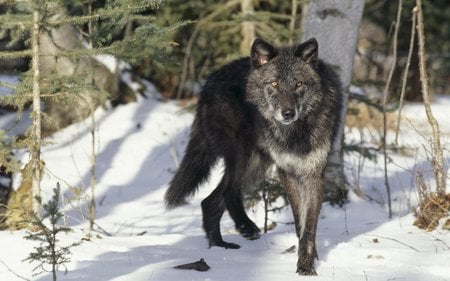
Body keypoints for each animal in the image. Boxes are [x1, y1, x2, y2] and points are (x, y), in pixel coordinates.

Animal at [164, 37, 342, 274]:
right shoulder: (286, 172)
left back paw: (219, 246)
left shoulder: (313, 174)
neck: (295, 133)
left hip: (257, 165)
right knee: (229, 191)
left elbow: (308, 227)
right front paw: (305, 264)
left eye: (298, 84)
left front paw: (308, 263)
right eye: (274, 83)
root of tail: (208, 83)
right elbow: (299, 223)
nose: (288, 113)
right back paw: (246, 227)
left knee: (209, 201)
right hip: (243, 154)